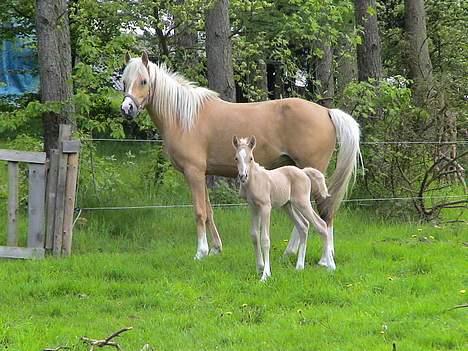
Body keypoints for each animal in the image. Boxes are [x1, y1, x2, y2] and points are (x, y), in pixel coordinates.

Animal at [120, 51, 362, 270]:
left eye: (143, 81)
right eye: (124, 81)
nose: (126, 109)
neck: (185, 117)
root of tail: (326, 111)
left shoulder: (193, 173)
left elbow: (199, 212)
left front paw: (201, 252)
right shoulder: (203, 174)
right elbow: (209, 212)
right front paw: (216, 249)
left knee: (324, 213)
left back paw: (324, 259)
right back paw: (292, 253)